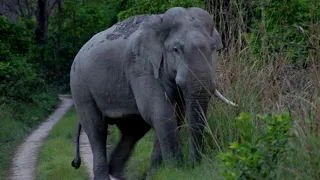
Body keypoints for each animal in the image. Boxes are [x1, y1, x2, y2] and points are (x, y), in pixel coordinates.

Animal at [69, 6, 235, 179]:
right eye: (176, 50)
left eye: (214, 49)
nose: (194, 167)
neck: (160, 23)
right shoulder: (142, 67)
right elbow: (160, 113)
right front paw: (176, 170)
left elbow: (175, 116)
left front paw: (158, 174)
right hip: (80, 87)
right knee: (96, 128)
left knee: (133, 130)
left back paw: (118, 173)